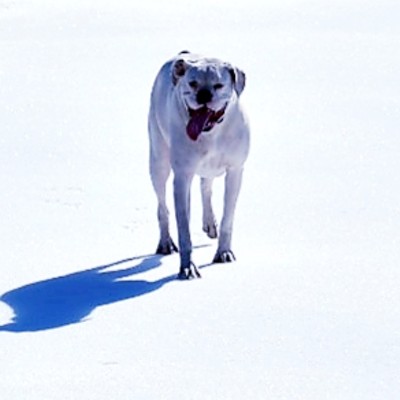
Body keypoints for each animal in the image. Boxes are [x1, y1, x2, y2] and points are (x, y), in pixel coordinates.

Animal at [148, 52, 250, 278]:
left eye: (219, 85)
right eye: (192, 83)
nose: (204, 95)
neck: (211, 133)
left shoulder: (235, 172)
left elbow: (227, 219)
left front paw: (224, 253)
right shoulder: (182, 177)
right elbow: (184, 230)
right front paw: (187, 267)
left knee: (206, 187)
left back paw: (210, 223)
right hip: (158, 164)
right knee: (162, 208)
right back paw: (165, 242)